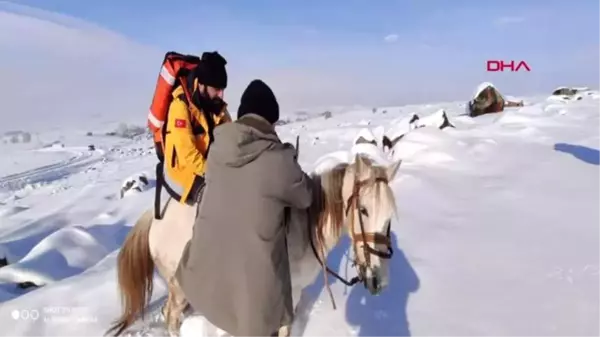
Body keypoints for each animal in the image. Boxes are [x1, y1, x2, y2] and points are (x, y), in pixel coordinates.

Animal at [106, 154, 404, 334]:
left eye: (390, 215)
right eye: (363, 210)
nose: (379, 280)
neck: (302, 228)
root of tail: (157, 216)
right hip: (176, 286)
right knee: (170, 317)